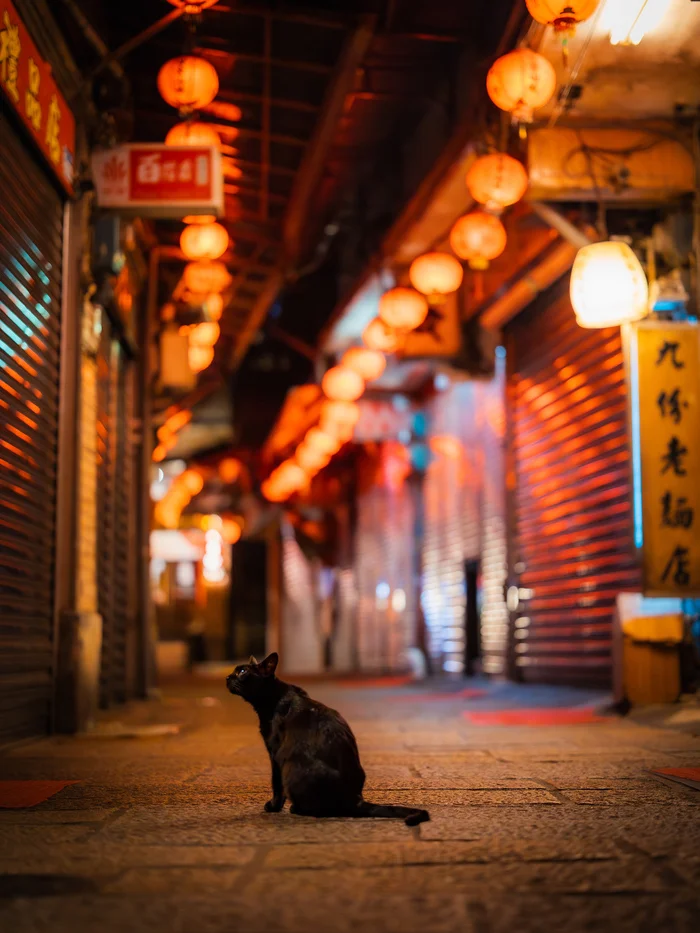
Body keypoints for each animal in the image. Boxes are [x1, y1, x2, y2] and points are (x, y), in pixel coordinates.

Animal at [227, 652, 430, 828]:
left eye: (242, 671)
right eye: (235, 671)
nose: (228, 677)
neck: (273, 697)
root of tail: (355, 800)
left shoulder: (274, 753)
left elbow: (276, 785)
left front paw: (273, 807)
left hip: (289, 767)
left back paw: (295, 808)